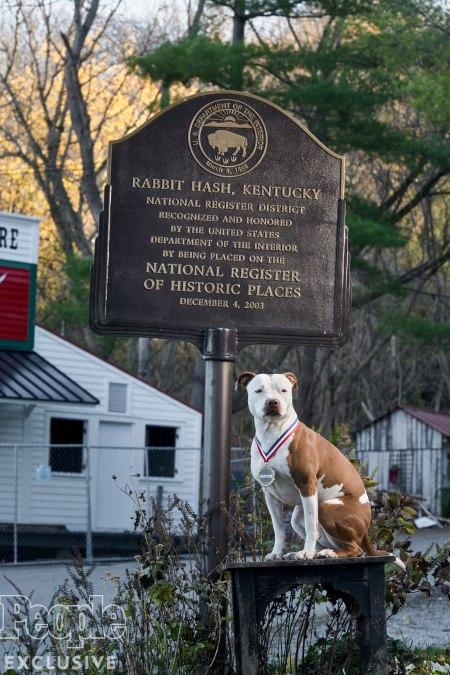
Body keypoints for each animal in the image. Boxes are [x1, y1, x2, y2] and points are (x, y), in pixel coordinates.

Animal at [237, 372, 406, 568]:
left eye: (283, 390)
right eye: (259, 390)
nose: (273, 402)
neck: (272, 434)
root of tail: (365, 530)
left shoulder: (307, 484)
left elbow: (311, 526)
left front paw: (306, 553)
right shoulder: (270, 495)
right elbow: (278, 530)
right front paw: (276, 554)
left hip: (327, 507)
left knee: (356, 549)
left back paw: (326, 553)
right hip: (297, 519)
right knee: (330, 540)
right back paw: (312, 553)